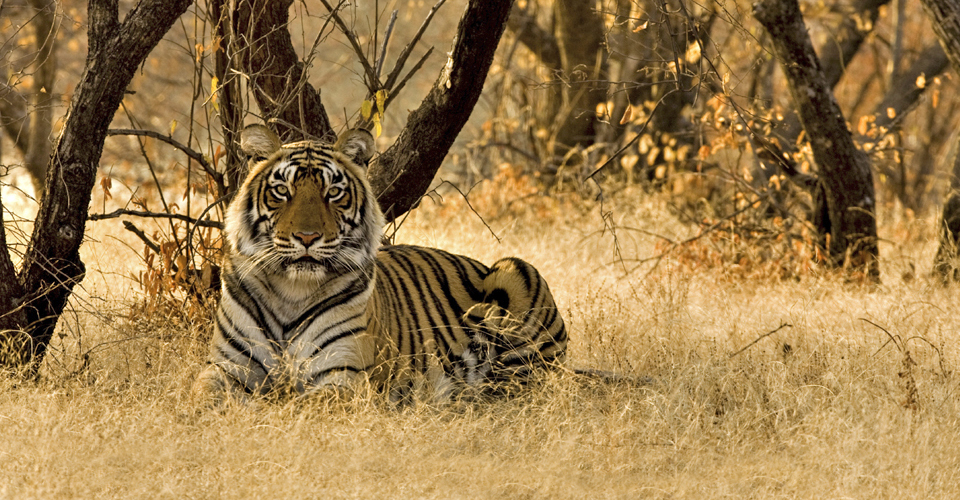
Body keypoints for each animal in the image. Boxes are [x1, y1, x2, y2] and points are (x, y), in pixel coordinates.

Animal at [195, 125, 568, 402]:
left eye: (333, 193)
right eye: (282, 191)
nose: (307, 237)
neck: (292, 290)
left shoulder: (343, 375)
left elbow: (301, 406)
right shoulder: (227, 368)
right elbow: (200, 398)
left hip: (516, 272)